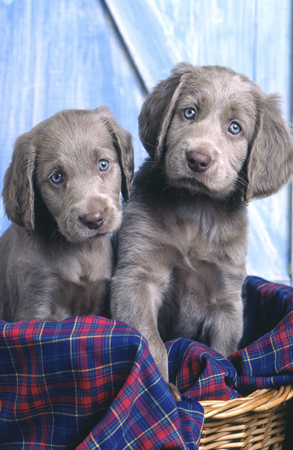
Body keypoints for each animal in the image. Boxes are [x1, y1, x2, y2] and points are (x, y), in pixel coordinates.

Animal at [0, 107, 133, 322]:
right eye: (56, 178)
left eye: (103, 165)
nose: (94, 219)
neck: (81, 251)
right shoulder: (35, 304)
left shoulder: (98, 298)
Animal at [110, 63, 293, 398]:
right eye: (189, 112)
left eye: (235, 128)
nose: (198, 159)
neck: (195, 210)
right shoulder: (137, 276)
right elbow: (151, 341)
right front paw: (165, 389)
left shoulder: (226, 301)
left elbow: (220, 355)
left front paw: (220, 384)